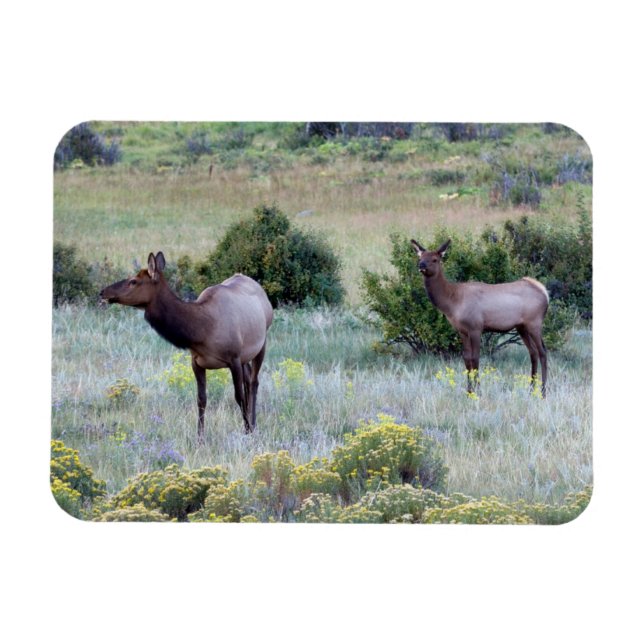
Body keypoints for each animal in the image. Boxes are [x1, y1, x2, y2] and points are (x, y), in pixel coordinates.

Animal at [100, 252, 273, 440]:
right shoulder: (197, 362)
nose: (102, 292)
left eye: (133, 281)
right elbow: (201, 399)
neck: (202, 330)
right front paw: (200, 437)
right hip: (245, 356)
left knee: (254, 382)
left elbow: (238, 396)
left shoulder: (233, 357)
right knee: (248, 380)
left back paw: (254, 424)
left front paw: (247, 430)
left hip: (262, 342)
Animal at [410, 239, 549, 397]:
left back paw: (543, 392)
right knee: (533, 353)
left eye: (435, 259)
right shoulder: (462, 331)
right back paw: (531, 390)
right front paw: (469, 391)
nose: (421, 265)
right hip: (522, 327)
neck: (452, 303)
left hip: (534, 323)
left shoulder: (476, 327)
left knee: (543, 352)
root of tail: (545, 293)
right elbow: (466, 358)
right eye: (420, 257)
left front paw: (478, 392)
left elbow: (475, 358)